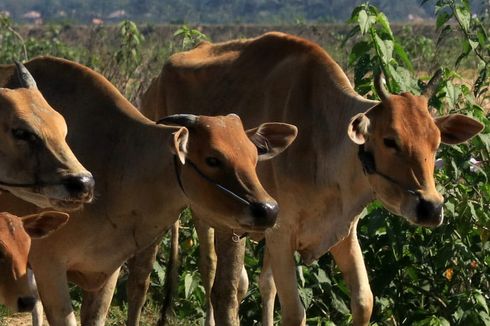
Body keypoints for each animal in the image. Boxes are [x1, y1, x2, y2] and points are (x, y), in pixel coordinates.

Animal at [124, 31, 484, 326]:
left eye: (436, 142)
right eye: (390, 140)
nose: (431, 207)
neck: (321, 135)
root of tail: (154, 81)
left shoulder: (342, 231)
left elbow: (363, 302)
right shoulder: (281, 232)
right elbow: (295, 312)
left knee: (222, 274)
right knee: (152, 276)